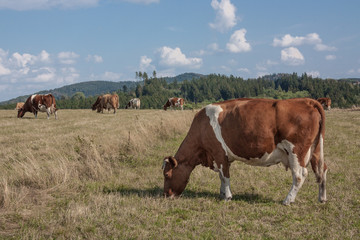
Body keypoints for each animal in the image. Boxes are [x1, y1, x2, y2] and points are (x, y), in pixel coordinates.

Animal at [163, 98, 330, 205]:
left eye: (167, 175)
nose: (166, 195)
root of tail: (306, 100)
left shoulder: (219, 154)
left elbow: (225, 176)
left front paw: (227, 196)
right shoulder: (220, 157)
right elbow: (221, 177)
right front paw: (222, 193)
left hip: (296, 151)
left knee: (300, 175)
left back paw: (288, 200)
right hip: (315, 150)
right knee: (322, 170)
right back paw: (322, 198)